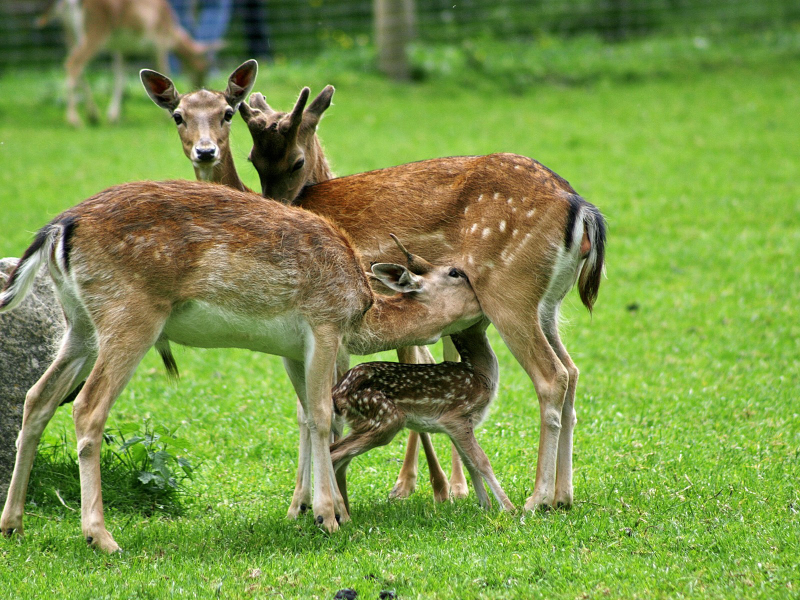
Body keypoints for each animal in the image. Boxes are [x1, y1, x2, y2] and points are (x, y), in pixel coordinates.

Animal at [0, 179, 482, 552]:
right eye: (457, 274)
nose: (487, 306)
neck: (361, 311)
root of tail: (59, 228)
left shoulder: (294, 348)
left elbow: (313, 417)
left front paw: (316, 511)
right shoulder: (323, 323)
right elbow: (322, 415)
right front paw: (329, 516)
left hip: (79, 324)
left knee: (37, 397)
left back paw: (13, 525)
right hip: (130, 315)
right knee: (87, 407)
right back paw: (101, 537)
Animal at [330, 318, 512, 516]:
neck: (479, 375)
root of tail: (336, 394)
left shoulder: (458, 427)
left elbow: (469, 462)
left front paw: (486, 506)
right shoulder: (456, 416)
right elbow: (482, 461)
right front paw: (509, 509)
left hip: (364, 423)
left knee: (337, 454)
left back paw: (343, 512)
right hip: (385, 418)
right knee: (334, 456)